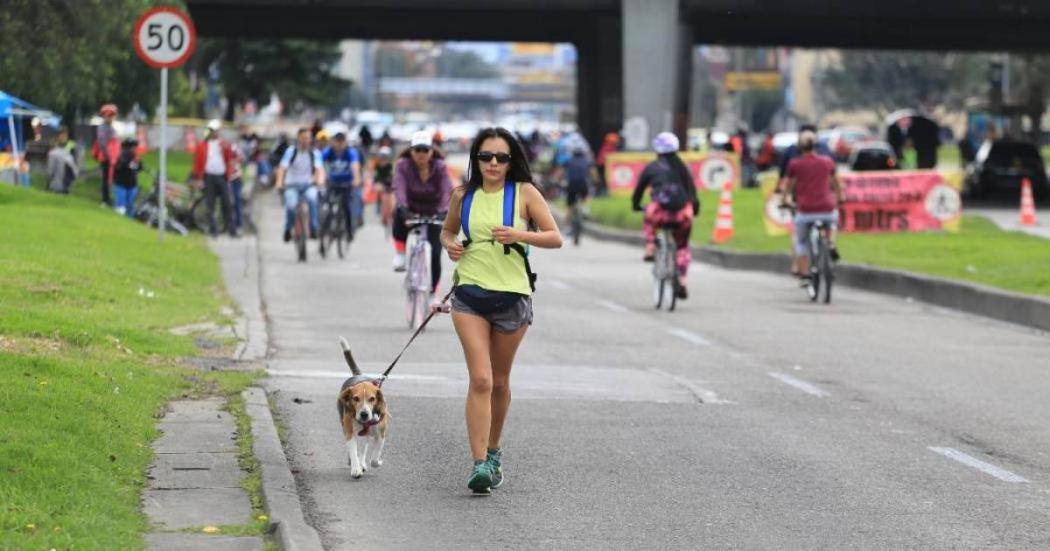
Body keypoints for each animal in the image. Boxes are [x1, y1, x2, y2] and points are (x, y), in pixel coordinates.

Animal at [338, 337, 388, 474]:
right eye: (355, 399)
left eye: (372, 399)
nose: (364, 414)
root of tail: (358, 375)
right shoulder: (350, 432)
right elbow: (353, 451)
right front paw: (356, 469)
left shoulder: (381, 434)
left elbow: (374, 459)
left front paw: (377, 462)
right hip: (346, 428)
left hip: (366, 435)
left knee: (364, 447)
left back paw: (363, 463)